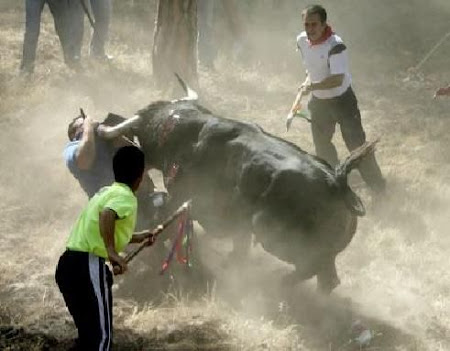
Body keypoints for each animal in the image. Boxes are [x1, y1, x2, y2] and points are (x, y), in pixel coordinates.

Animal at [101, 97, 372, 292]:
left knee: (311, 267)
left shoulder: (183, 199)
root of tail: (337, 181)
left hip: (275, 236)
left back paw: (277, 284)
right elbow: (239, 246)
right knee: (327, 278)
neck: (188, 132)